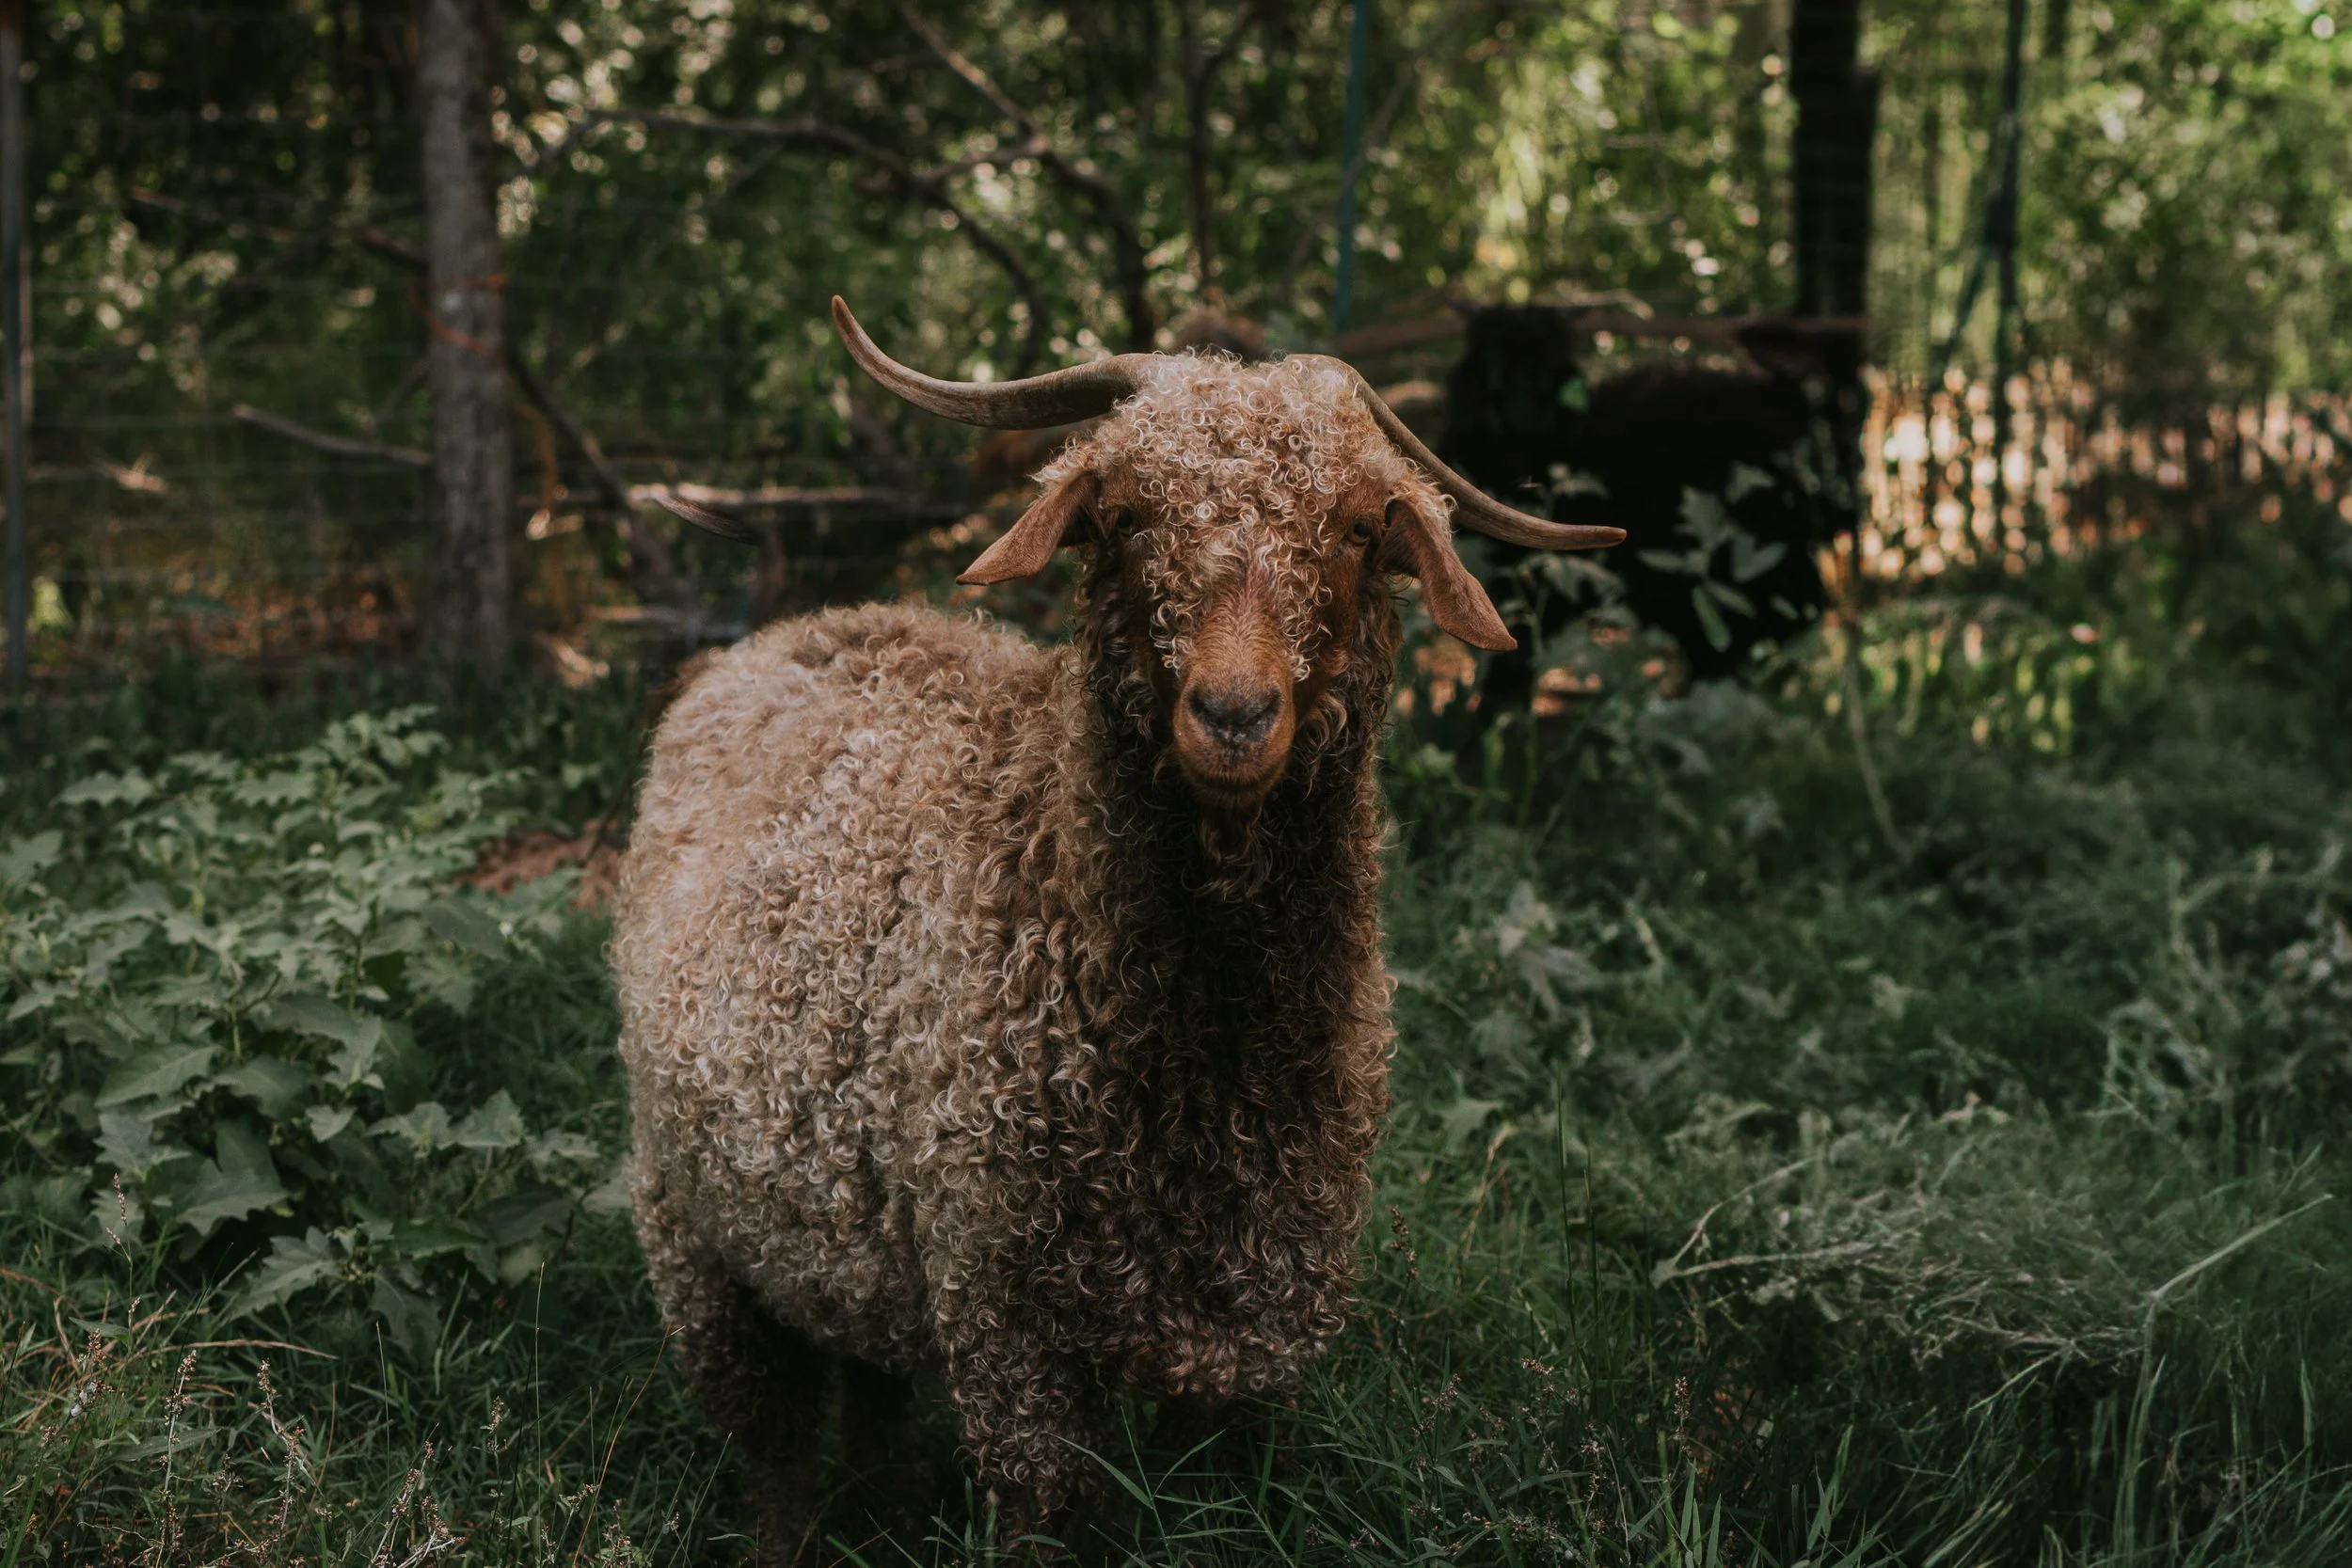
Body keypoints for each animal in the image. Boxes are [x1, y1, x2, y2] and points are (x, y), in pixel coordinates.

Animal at [610, 297, 1618, 1559]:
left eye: (1353, 530)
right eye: (1129, 516)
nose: (1232, 714)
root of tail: (786, 635)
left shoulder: (1259, 1327)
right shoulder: (1007, 1312)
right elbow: (1045, 1511)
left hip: (847, 1243)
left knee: (870, 1388)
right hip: (691, 1223)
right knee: (774, 1436)